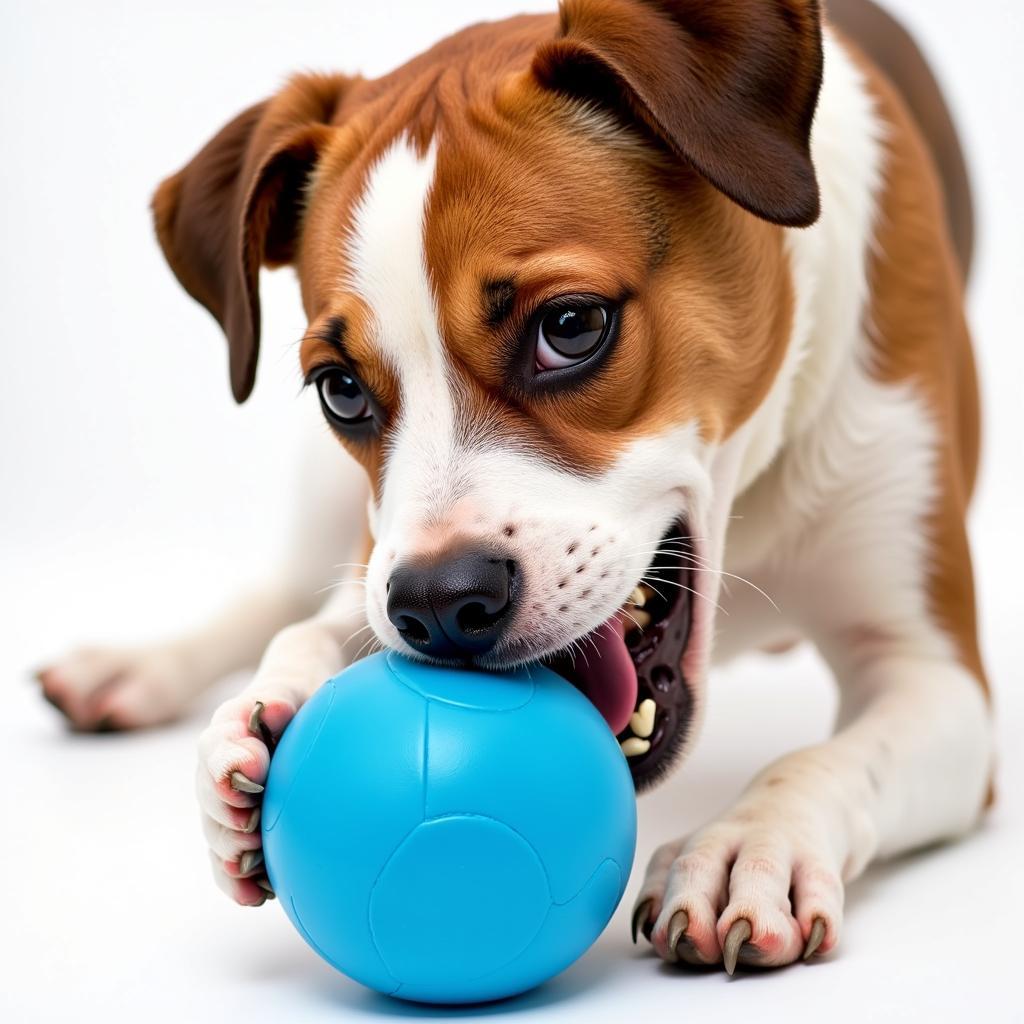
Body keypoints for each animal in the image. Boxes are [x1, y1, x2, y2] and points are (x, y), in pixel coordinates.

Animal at [39, 0, 991, 974]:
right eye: (340, 389)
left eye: (570, 326)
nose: (439, 606)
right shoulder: (382, 557)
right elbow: (310, 629)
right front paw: (252, 726)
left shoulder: (936, 680)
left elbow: (826, 758)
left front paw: (749, 843)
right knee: (277, 589)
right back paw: (133, 667)